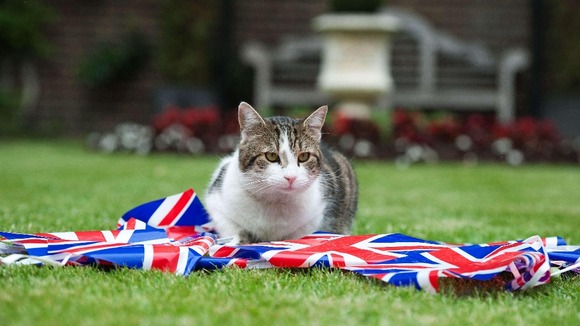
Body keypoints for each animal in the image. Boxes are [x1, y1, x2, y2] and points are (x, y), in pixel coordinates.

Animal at [204, 103, 358, 243]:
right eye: (271, 156)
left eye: (304, 156)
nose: (291, 177)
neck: (276, 201)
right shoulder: (217, 203)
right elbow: (233, 230)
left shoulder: (315, 217)